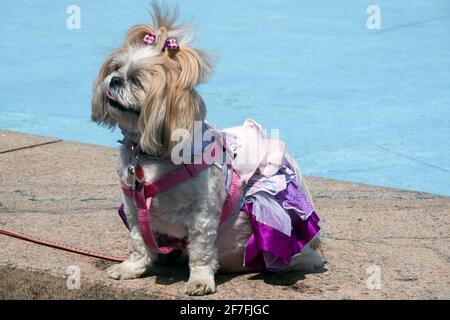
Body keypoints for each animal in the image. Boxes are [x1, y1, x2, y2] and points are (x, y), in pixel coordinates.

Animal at [92, 2, 324, 296]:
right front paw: (132, 268)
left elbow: (201, 251)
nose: (114, 80)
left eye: (136, 80)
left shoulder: (202, 214)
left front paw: (200, 280)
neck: (151, 155)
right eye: (115, 68)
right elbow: (139, 242)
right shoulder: (135, 208)